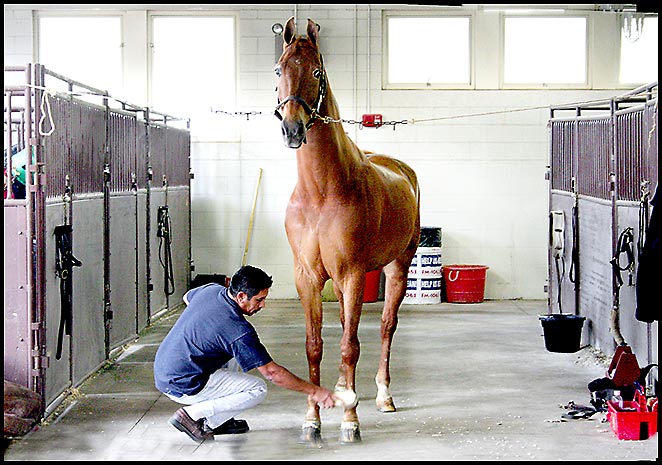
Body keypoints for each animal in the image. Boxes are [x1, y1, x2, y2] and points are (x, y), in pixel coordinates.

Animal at [274, 18, 420, 444]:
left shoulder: (354, 274)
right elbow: (315, 345)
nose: (293, 128)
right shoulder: (308, 277)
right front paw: (312, 419)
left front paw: (350, 421)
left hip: (396, 267)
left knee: (386, 326)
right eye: (279, 70)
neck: (322, 191)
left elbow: (349, 346)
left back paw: (383, 395)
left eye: (316, 73)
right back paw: (341, 390)